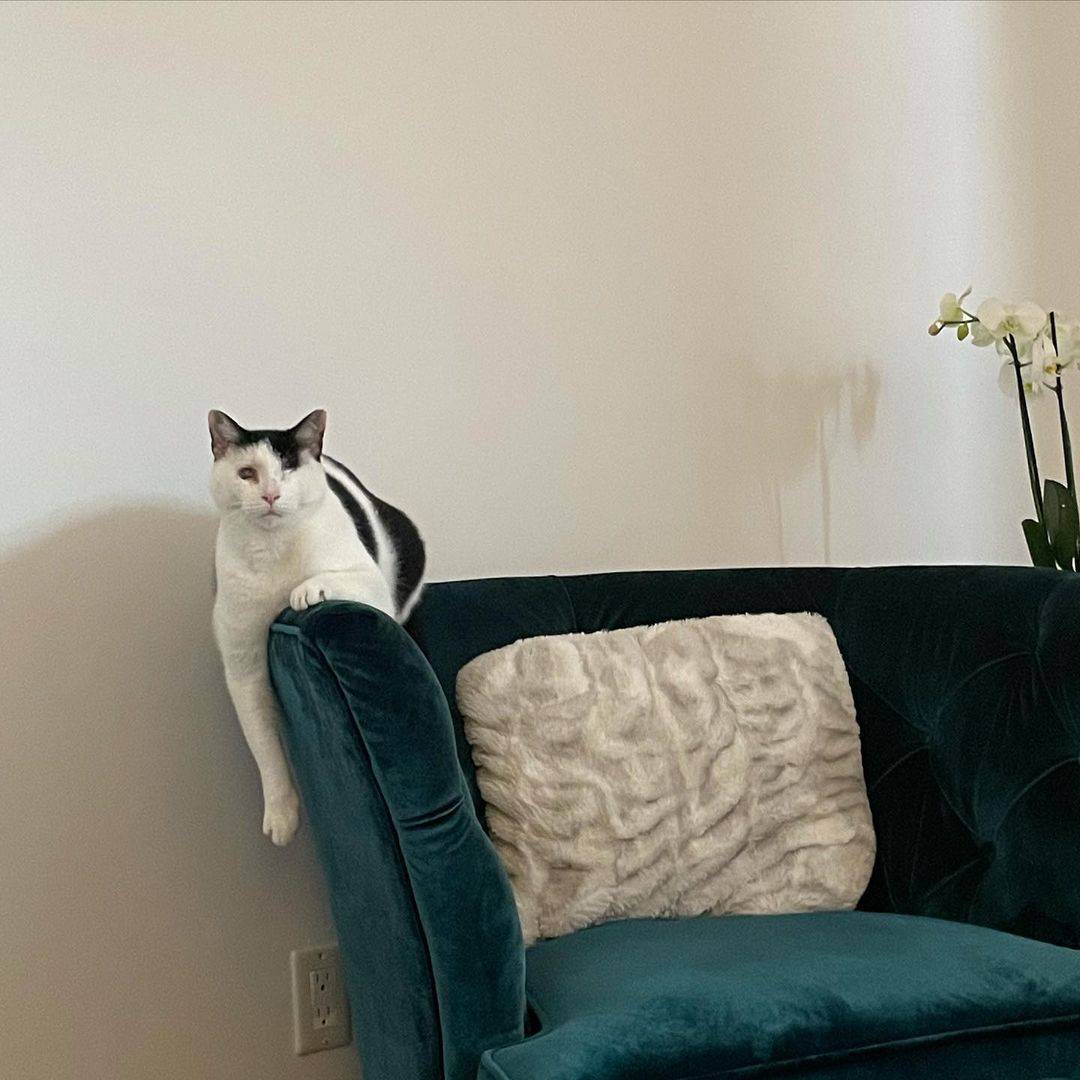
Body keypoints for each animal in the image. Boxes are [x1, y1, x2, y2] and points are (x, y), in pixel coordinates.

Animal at [206, 408, 425, 846]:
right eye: (246, 473)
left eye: (288, 468)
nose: (271, 495)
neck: (273, 553)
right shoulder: (244, 667)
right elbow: (264, 746)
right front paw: (281, 813)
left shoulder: (370, 584)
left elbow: (323, 580)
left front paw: (306, 591)